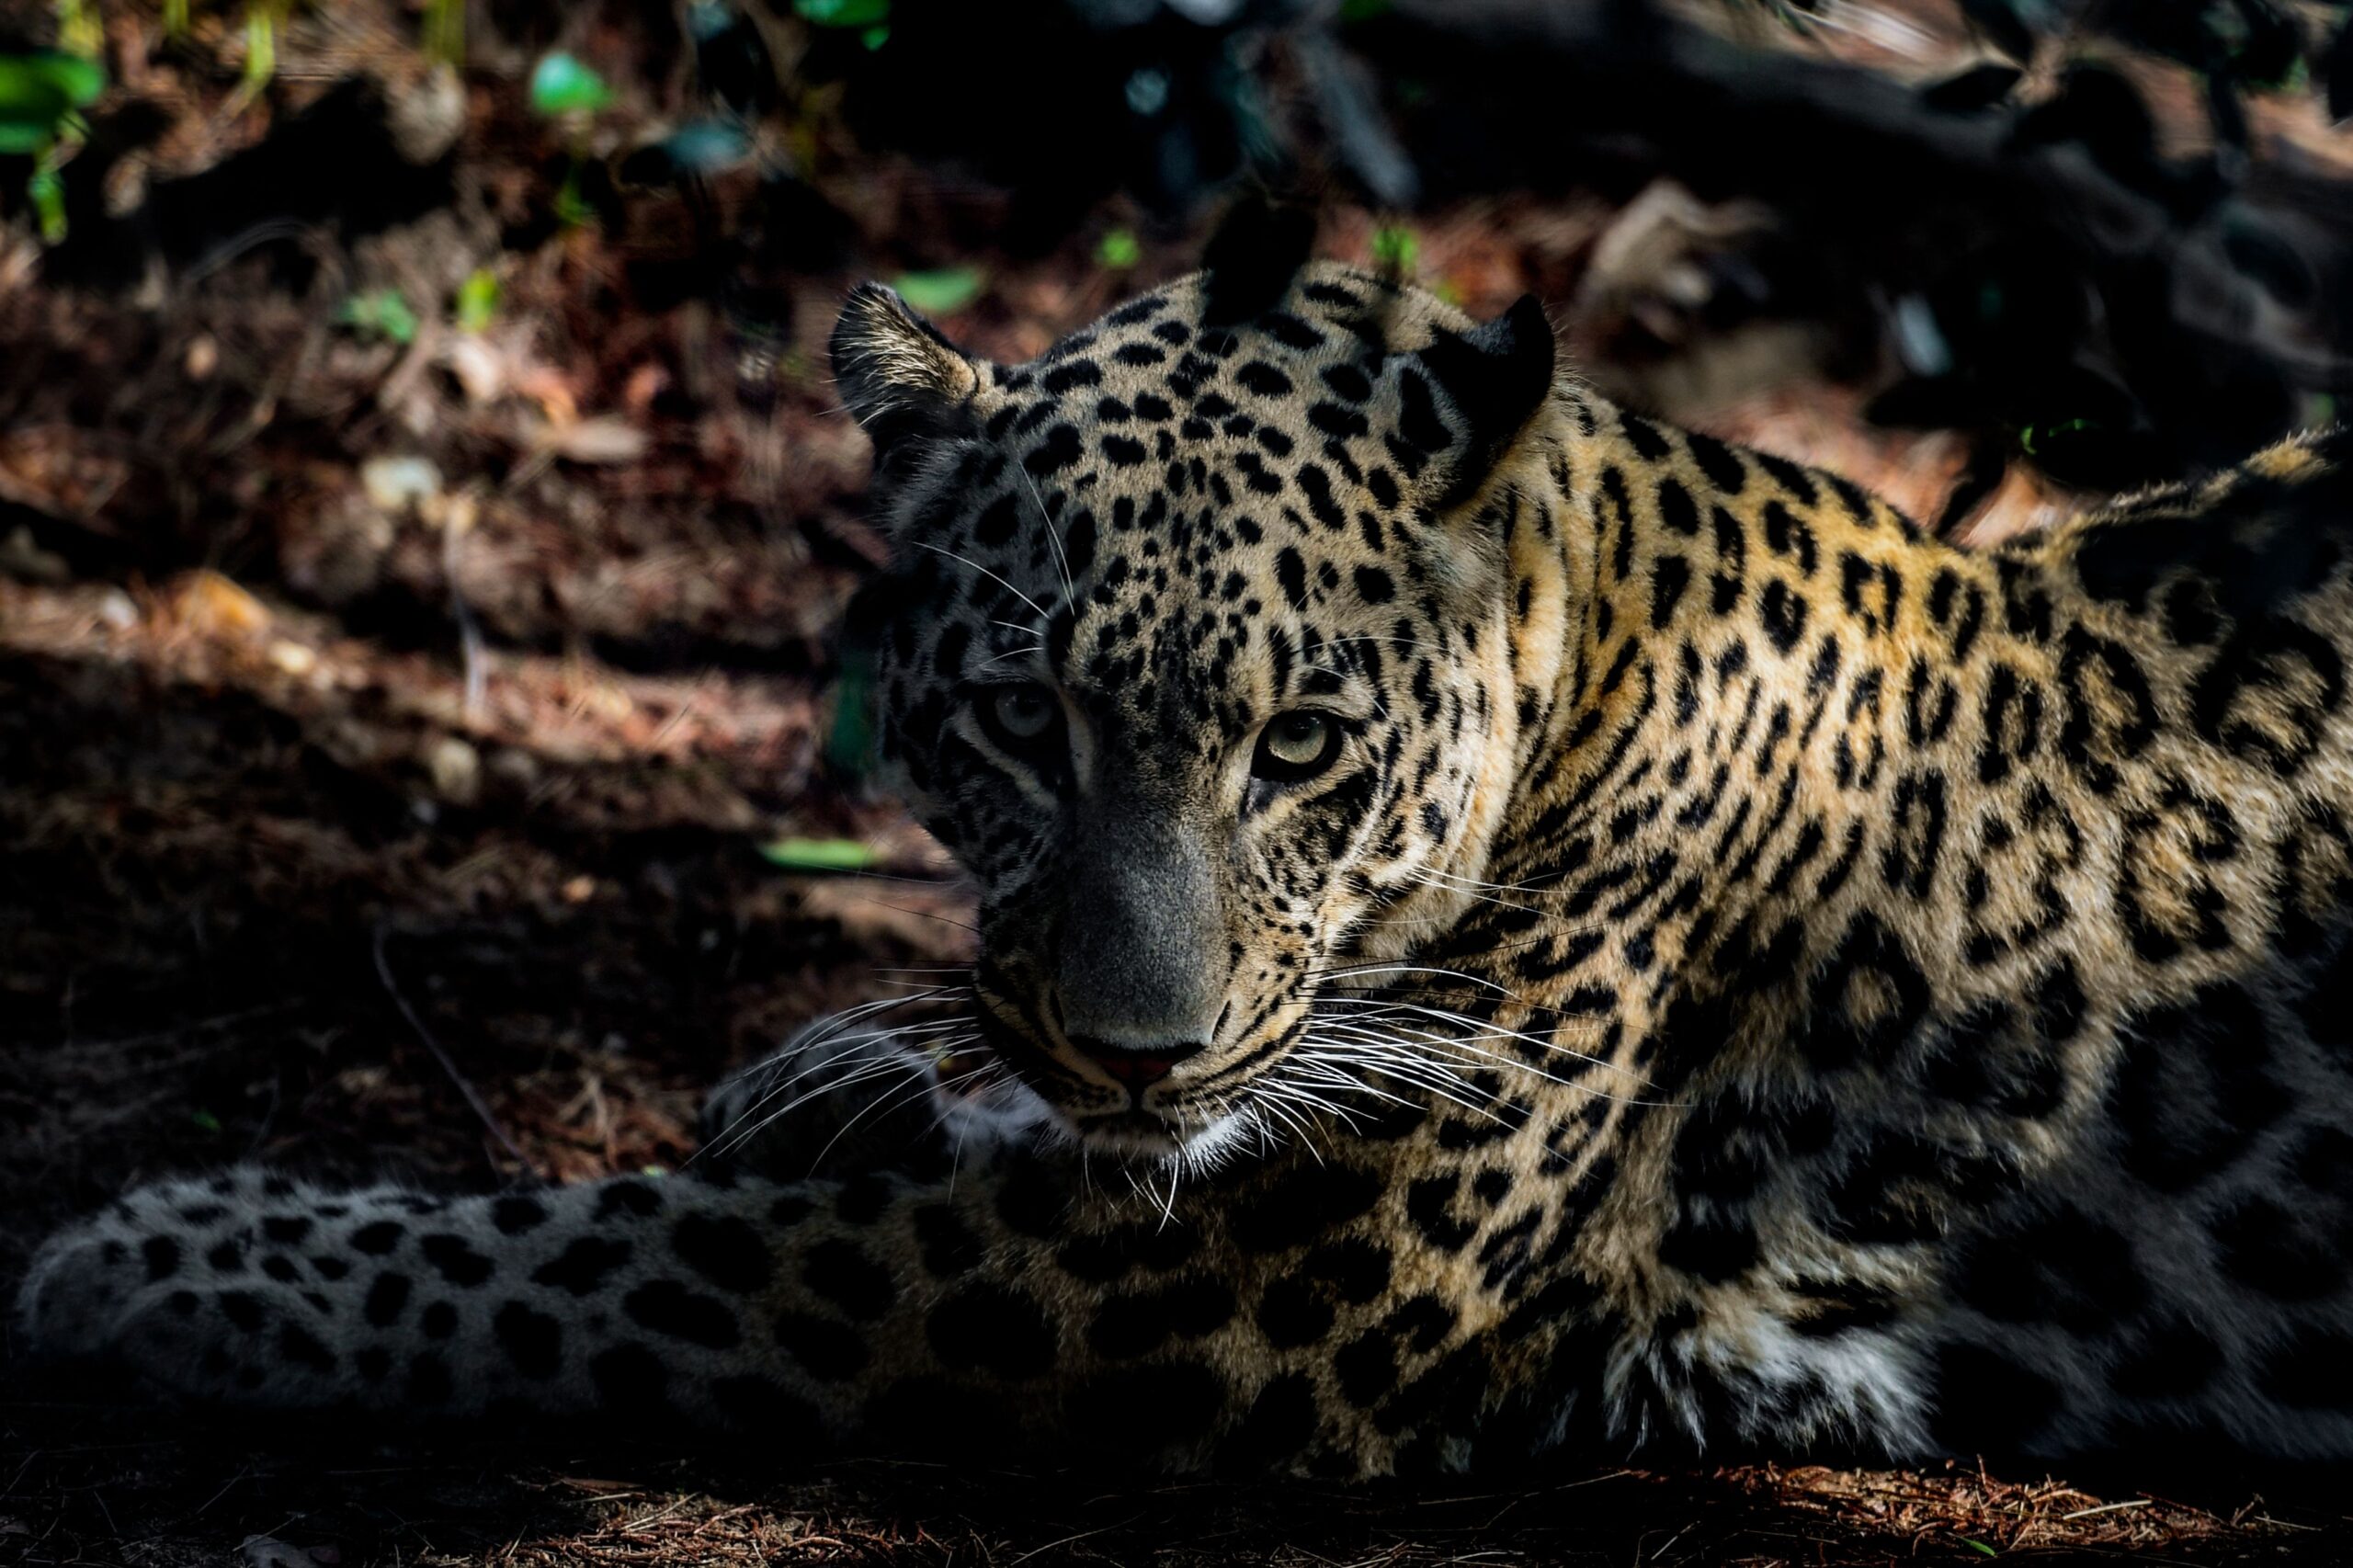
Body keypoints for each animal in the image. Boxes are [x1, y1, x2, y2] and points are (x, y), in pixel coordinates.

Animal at [18, 225, 2353, 1469]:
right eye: (1017, 722)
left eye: (1299, 743)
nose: (1136, 1049)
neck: (1594, 632)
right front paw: (827, 1074)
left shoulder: (1235, 1275)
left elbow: (615, 1254)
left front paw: (184, 1257)